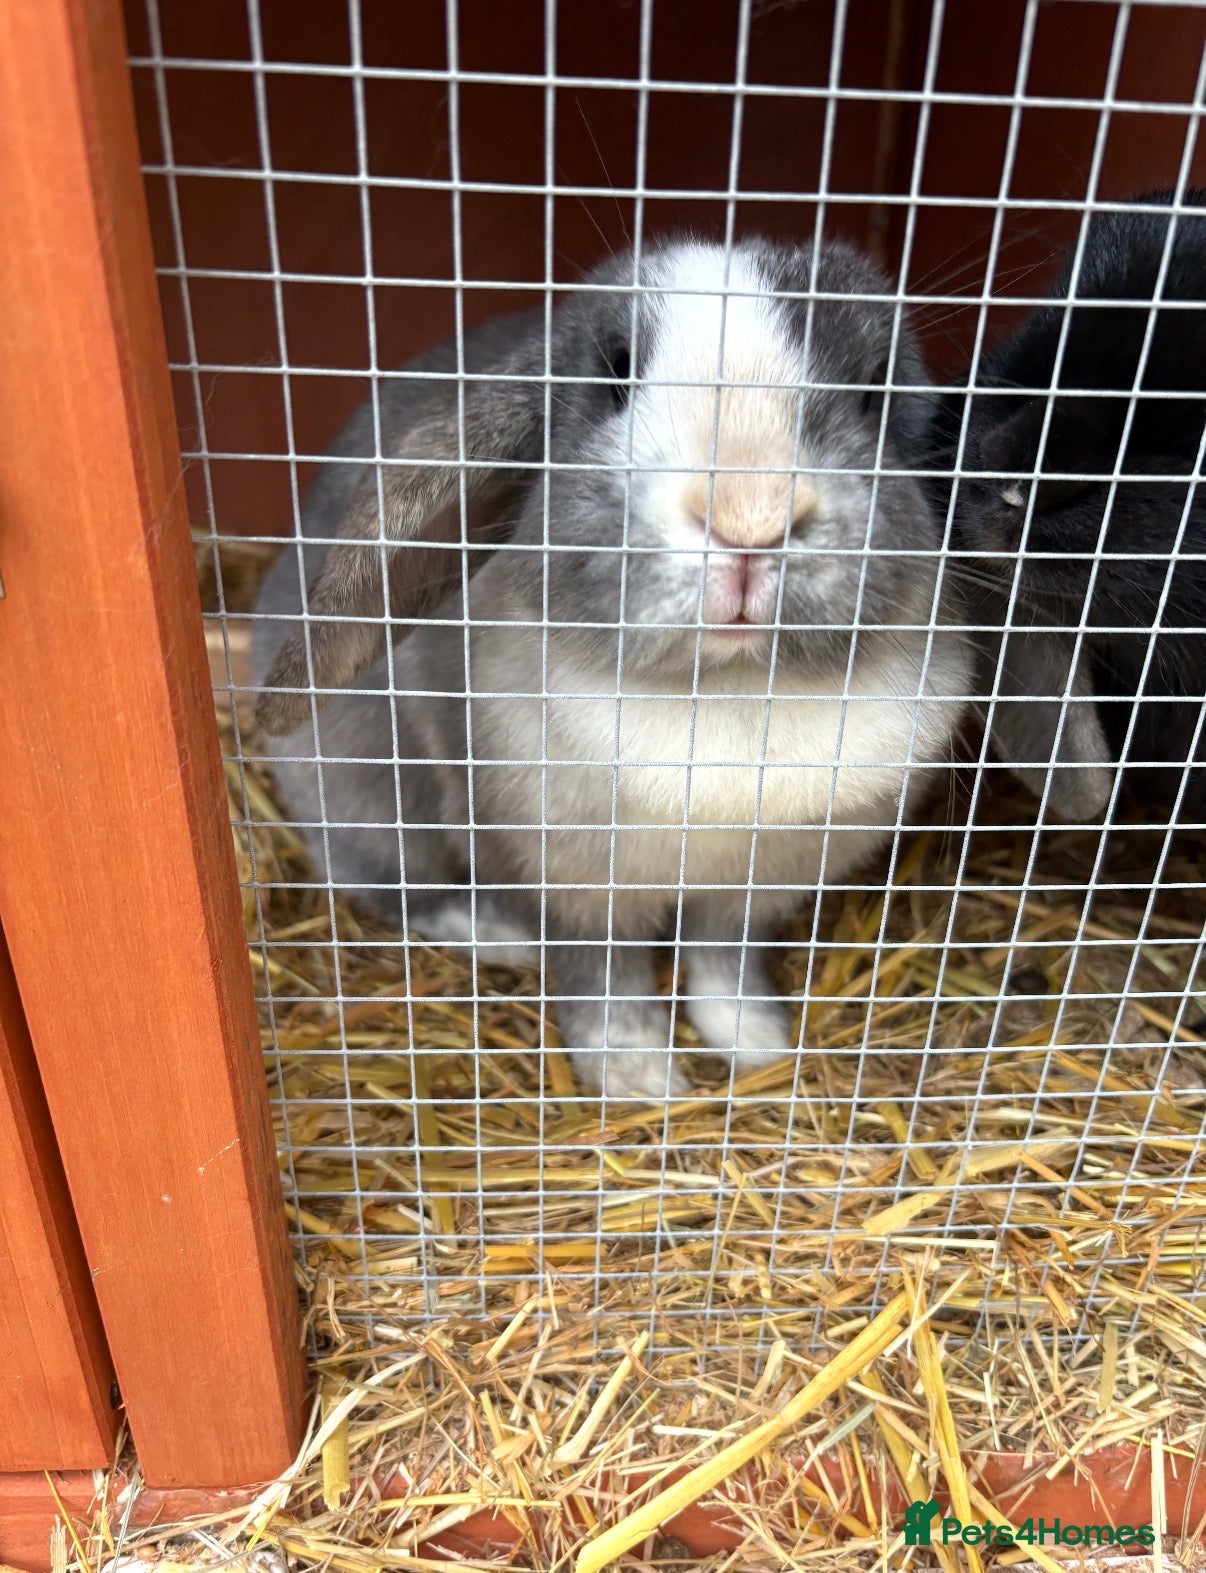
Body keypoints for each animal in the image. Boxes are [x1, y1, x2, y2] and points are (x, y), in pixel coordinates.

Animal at [252, 237, 972, 1100]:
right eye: (618, 373)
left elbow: (724, 966)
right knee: (396, 886)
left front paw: (757, 1047)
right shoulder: (578, 888)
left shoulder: (751, 893)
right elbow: (605, 981)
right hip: (376, 796)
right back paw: (496, 933)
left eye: (872, 392)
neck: (728, 688)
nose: (750, 518)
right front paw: (638, 1081)